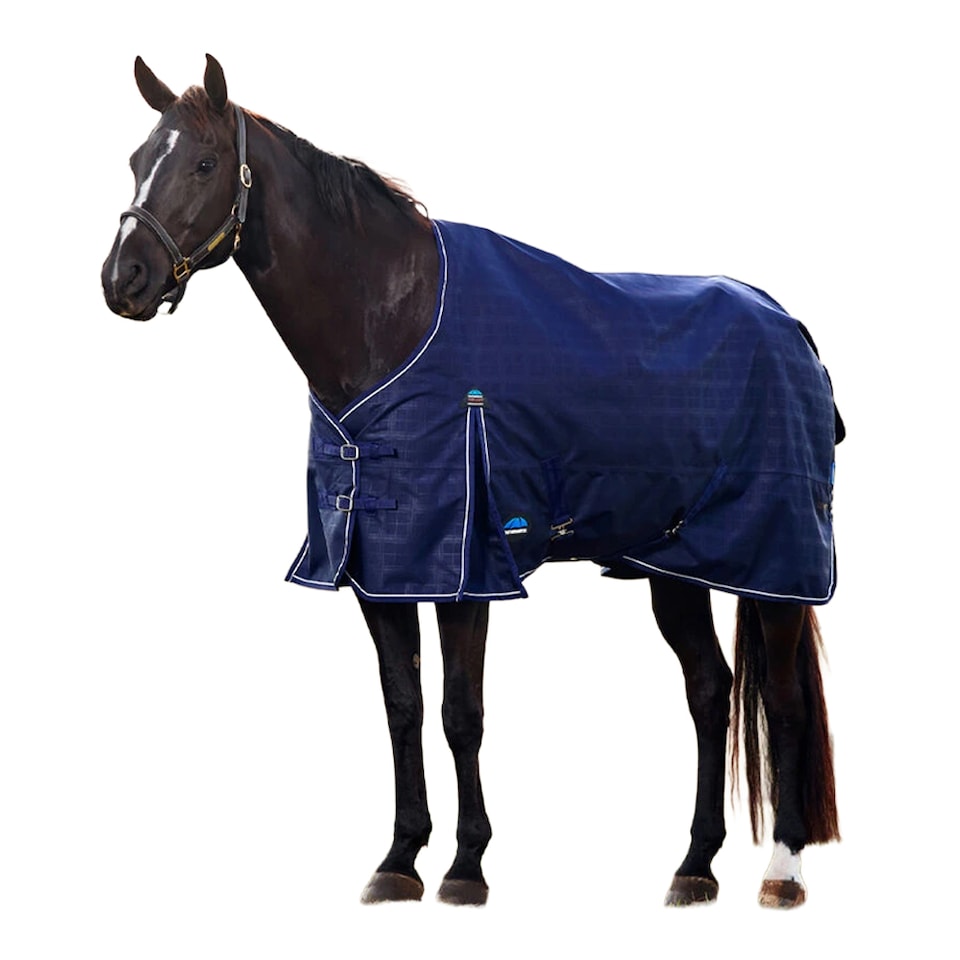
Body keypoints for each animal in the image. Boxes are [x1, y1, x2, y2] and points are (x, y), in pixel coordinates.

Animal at [101, 55, 841, 909]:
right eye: (136, 159)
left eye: (205, 162)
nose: (123, 279)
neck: (389, 323)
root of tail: (790, 327)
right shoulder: (380, 567)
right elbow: (404, 707)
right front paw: (398, 858)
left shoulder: (464, 565)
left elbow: (462, 713)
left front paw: (465, 867)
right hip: (675, 566)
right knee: (711, 694)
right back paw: (694, 865)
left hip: (776, 562)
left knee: (782, 702)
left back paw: (782, 871)